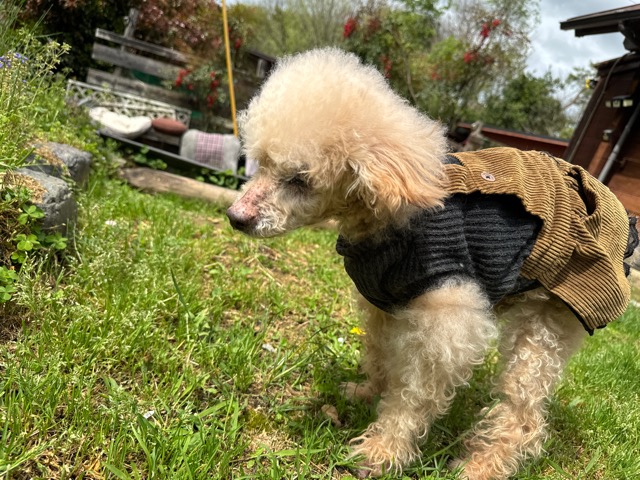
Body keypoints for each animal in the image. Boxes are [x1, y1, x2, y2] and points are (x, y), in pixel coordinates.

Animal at [226, 48, 638, 479]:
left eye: (300, 179)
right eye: (260, 163)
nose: (235, 216)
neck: (384, 218)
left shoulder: (447, 321)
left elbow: (415, 393)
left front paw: (383, 450)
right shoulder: (385, 304)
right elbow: (381, 354)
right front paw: (367, 392)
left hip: (552, 316)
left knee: (523, 414)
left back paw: (482, 466)